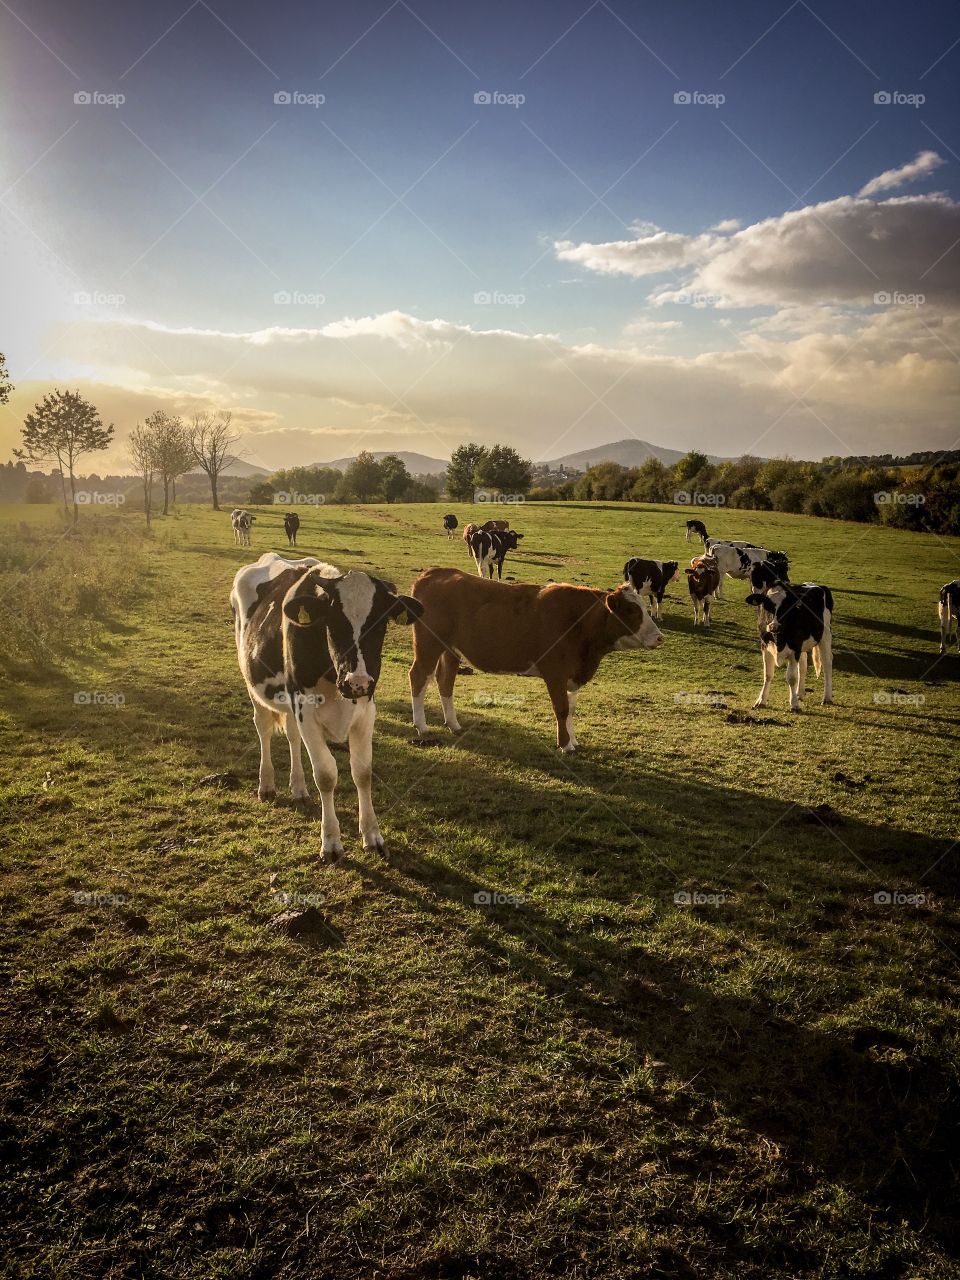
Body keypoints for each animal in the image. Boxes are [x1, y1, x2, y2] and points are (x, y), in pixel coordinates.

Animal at [231, 550, 422, 860]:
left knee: (292, 737)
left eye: (381, 623)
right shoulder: (306, 711)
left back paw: (298, 788)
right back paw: (266, 785)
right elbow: (326, 774)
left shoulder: (365, 712)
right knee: (263, 729)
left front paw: (372, 835)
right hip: (253, 687)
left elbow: (363, 773)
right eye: (332, 621)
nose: (358, 682)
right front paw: (331, 842)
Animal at [409, 568, 665, 747]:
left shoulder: (572, 674)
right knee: (419, 677)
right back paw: (421, 726)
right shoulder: (555, 672)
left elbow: (571, 709)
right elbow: (561, 708)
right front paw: (565, 745)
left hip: (450, 650)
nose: (659, 637)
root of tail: (434, 572)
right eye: (631, 611)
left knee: (445, 682)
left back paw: (453, 724)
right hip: (428, 644)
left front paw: (573, 740)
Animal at [742, 586, 834, 716]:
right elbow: (768, 675)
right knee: (803, 666)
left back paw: (827, 698)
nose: (774, 626)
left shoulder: (795, 649)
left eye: (788, 605)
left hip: (825, 635)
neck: (778, 638)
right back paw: (799, 693)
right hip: (804, 646)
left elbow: (791, 677)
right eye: (767, 604)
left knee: (827, 663)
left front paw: (794, 705)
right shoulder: (765, 647)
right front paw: (761, 701)